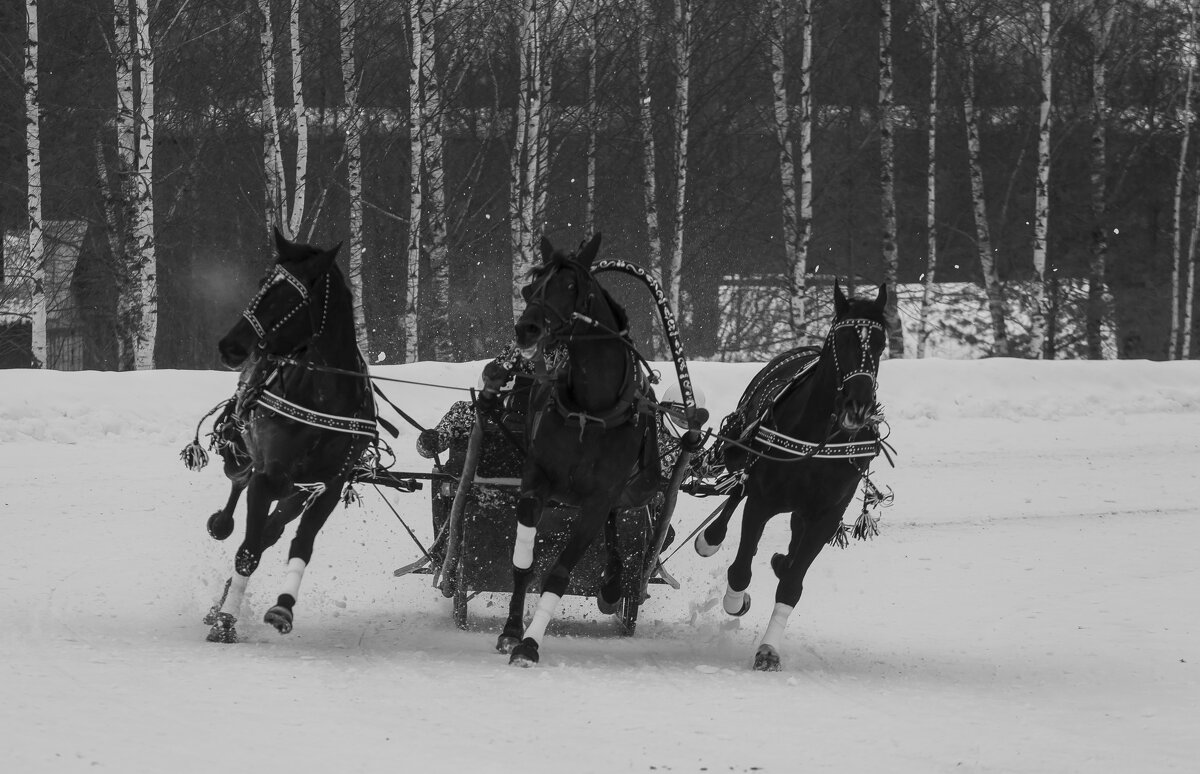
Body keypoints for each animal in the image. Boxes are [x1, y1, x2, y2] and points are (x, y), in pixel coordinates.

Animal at [200, 226, 374, 643]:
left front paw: (282, 606)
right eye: (263, 284)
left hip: (299, 490)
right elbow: (248, 551)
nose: (231, 346)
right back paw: (222, 527)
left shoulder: (328, 486)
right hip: (240, 452)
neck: (325, 394)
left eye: (291, 298)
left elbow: (300, 545)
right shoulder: (268, 475)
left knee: (272, 529)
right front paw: (226, 621)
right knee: (239, 490)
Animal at [499, 234, 662, 662]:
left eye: (572, 286)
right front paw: (512, 630)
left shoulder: (598, 498)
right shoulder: (536, 479)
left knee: (615, 523)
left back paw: (613, 581)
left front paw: (530, 645)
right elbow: (524, 562)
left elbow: (559, 572)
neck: (590, 409)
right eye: (531, 287)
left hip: (629, 488)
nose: (527, 329)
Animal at [696, 282, 892, 672]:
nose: (858, 405)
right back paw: (710, 538)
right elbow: (741, 568)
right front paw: (735, 601)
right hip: (742, 451)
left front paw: (768, 650)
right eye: (841, 338)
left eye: (880, 343)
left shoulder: (826, 515)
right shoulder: (762, 499)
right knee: (735, 492)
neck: (818, 438)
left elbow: (791, 583)